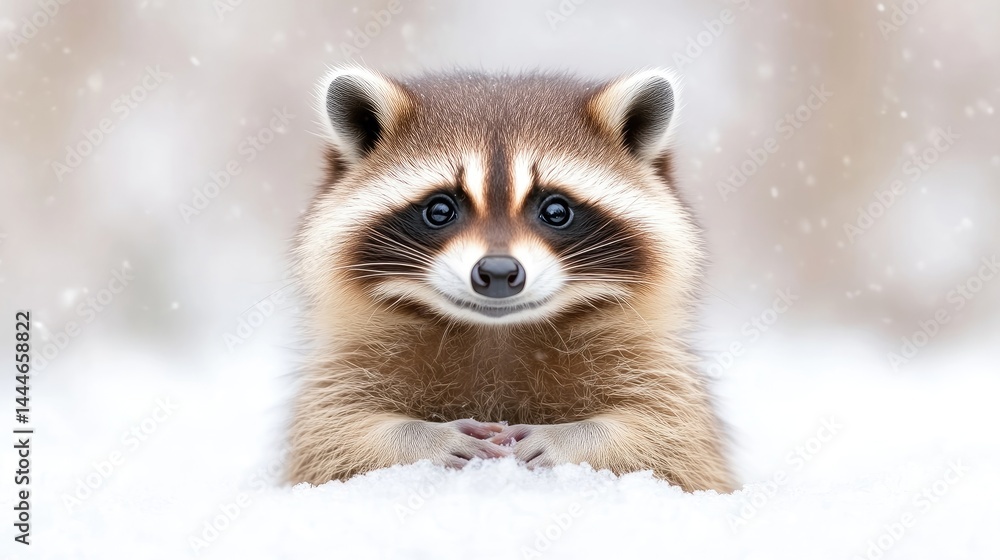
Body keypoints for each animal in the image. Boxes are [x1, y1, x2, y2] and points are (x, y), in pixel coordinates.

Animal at [288, 66, 733, 492]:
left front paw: (571, 438)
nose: (499, 272)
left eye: (556, 211)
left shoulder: (650, 364)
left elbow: (673, 439)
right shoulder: (347, 365)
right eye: (440, 210)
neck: (496, 332)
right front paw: (424, 437)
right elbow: (331, 435)